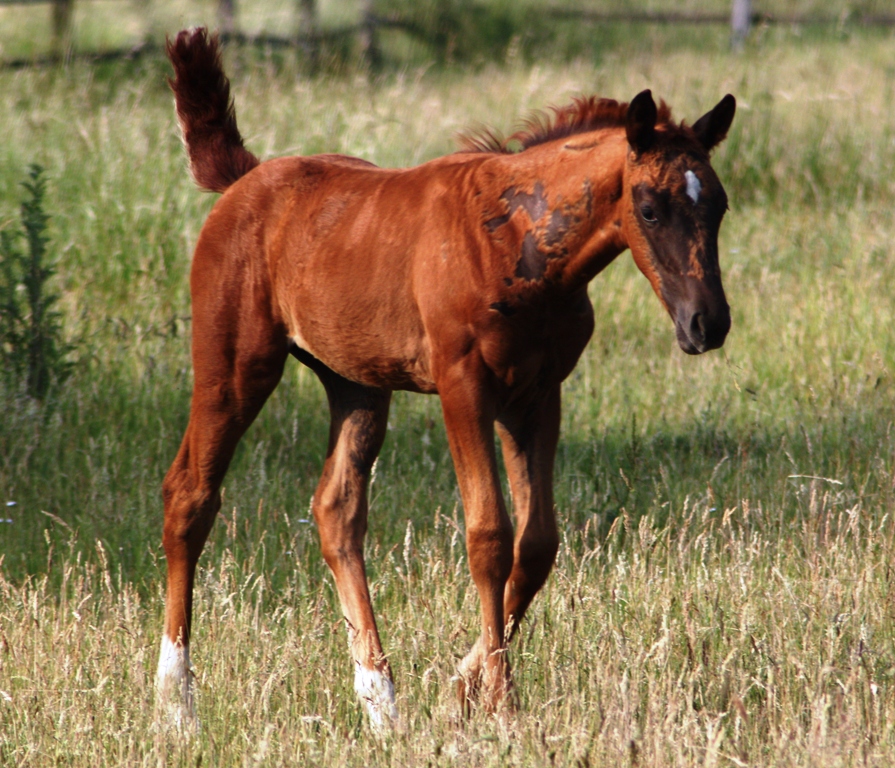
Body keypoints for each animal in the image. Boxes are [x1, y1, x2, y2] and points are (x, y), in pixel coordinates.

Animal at [158, 27, 740, 728]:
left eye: (720, 205)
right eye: (649, 209)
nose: (707, 323)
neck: (515, 240)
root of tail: (244, 179)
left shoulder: (537, 394)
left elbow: (537, 544)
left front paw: (459, 688)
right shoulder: (465, 388)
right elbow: (489, 536)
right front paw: (500, 701)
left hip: (357, 385)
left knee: (336, 511)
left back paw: (381, 701)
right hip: (236, 364)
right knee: (190, 495)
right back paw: (175, 700)